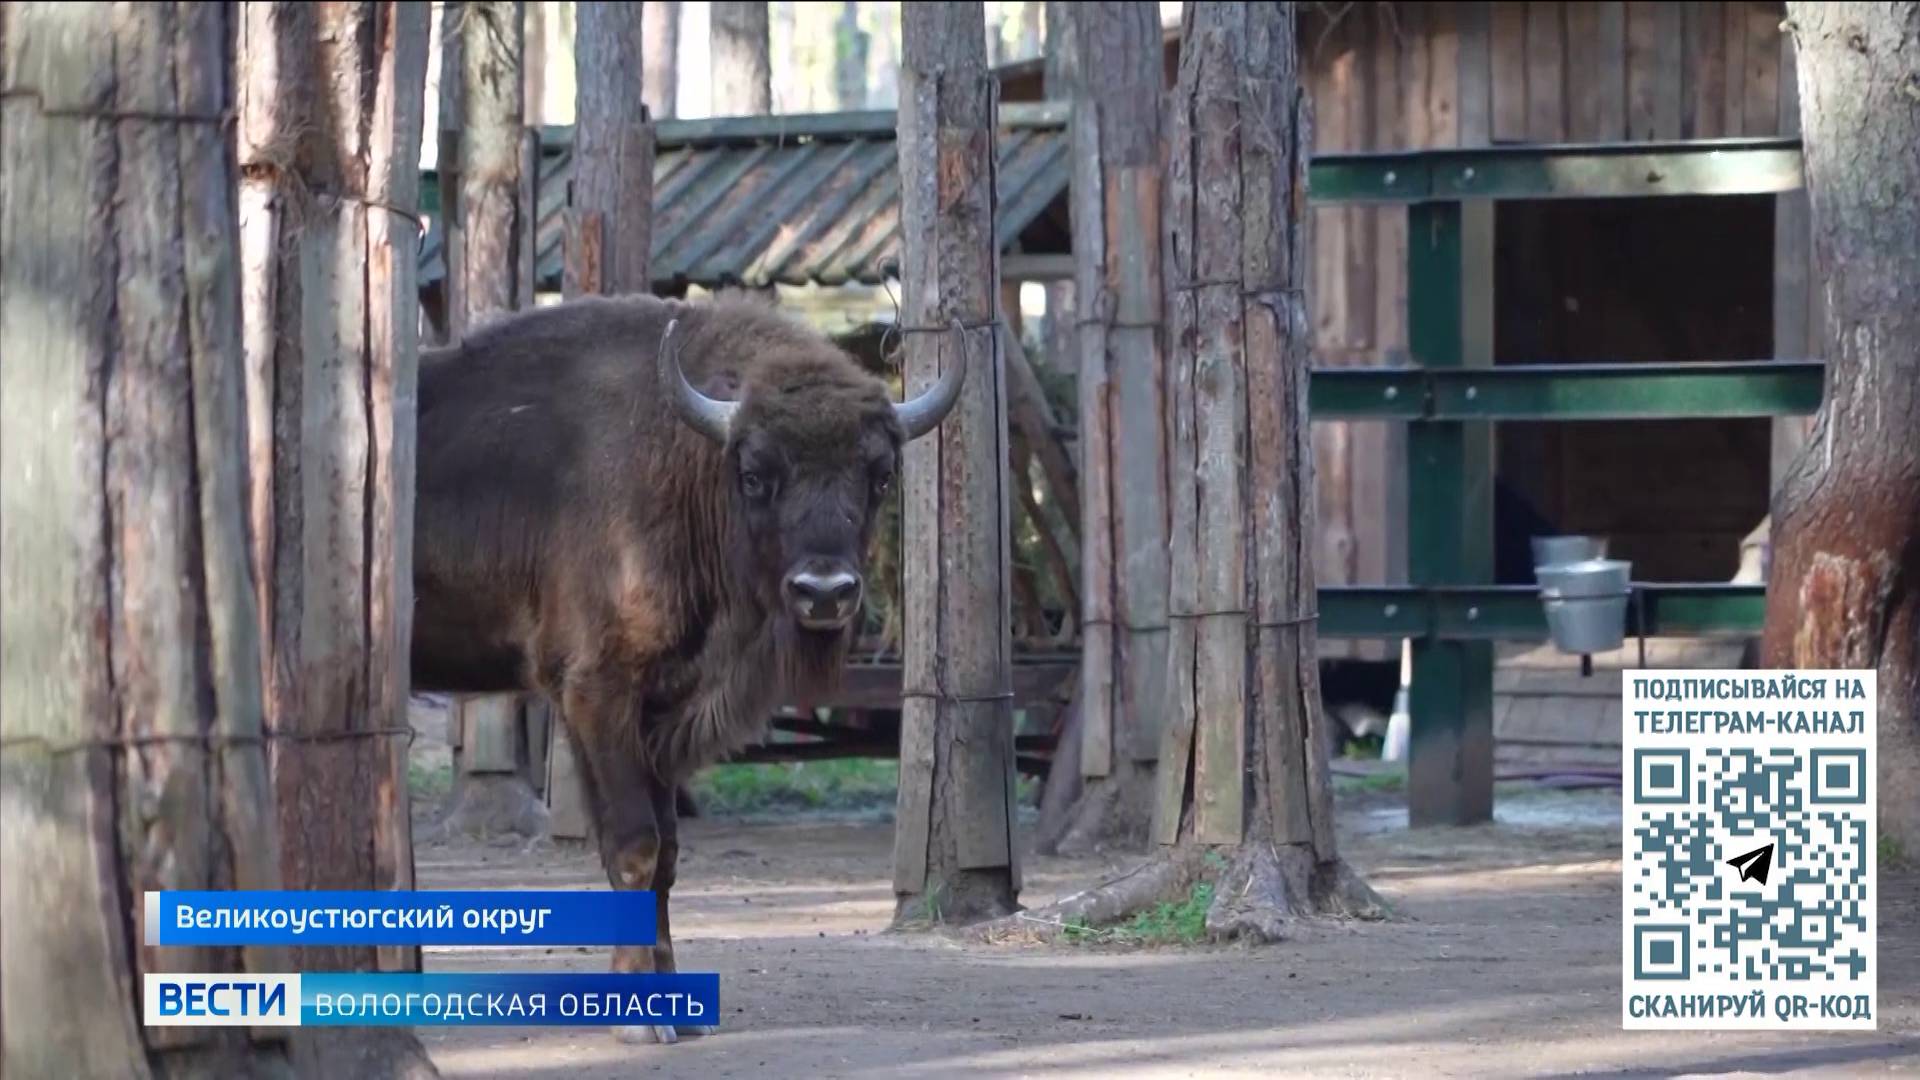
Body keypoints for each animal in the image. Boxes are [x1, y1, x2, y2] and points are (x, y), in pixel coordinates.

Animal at [414, 290, 967, 1037]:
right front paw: (637, 1017)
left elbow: (668, 859)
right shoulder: (597, 697)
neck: (685, 459)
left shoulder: (658, 713)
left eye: (879, 476)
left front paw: (680, 1011)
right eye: (756, 475)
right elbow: (633, 848)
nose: (824, 592)